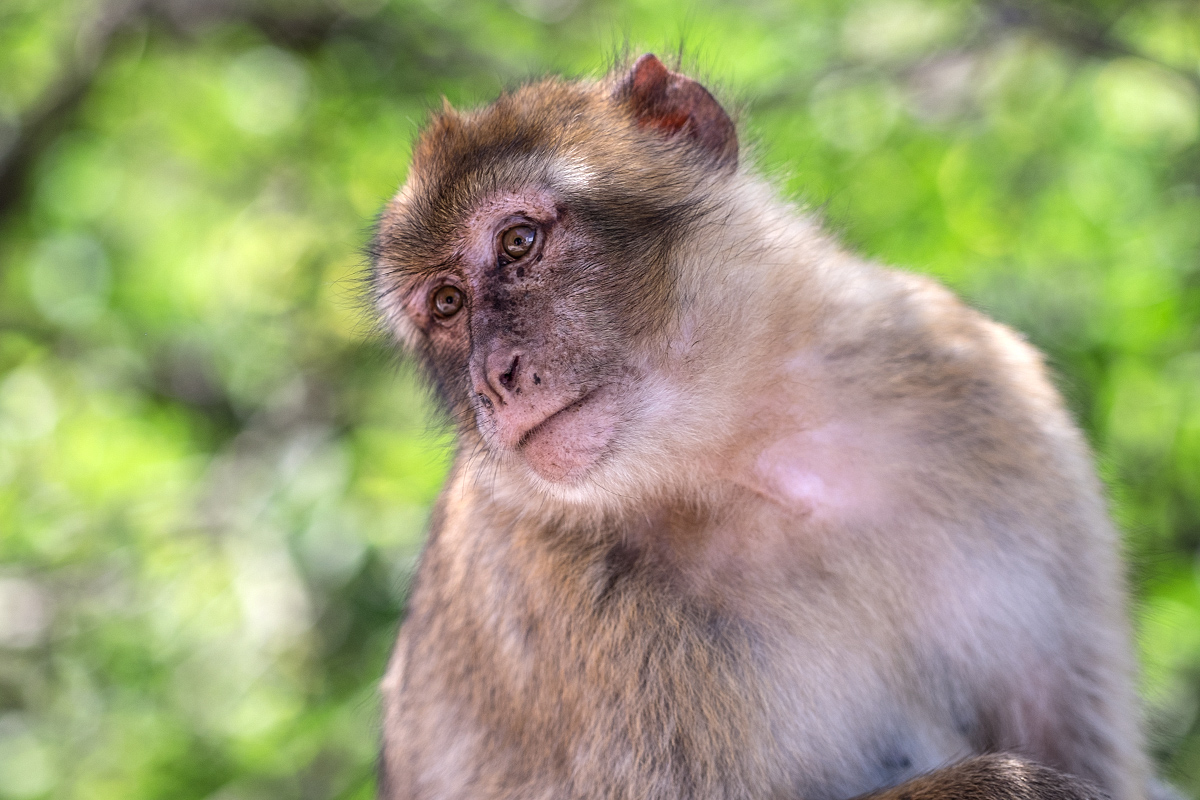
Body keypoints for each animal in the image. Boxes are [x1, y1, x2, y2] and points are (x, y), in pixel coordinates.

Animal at [369, 53, 1162, 800]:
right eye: (446, 305)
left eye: (518, 243)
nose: (490, 379)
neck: (748, 444)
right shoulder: (530, 577)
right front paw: (1013, 784)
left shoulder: (989, 392)